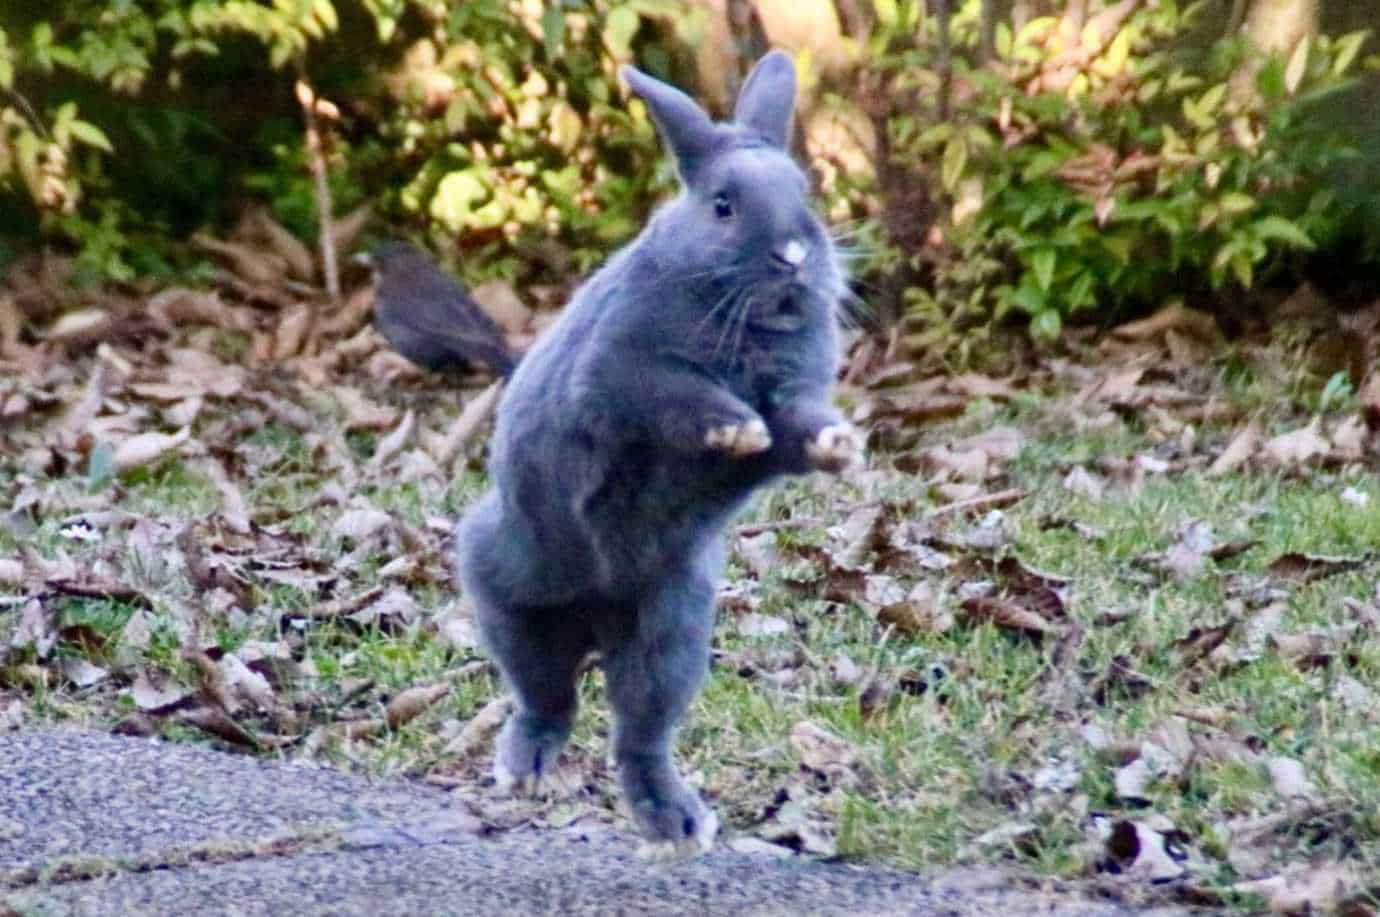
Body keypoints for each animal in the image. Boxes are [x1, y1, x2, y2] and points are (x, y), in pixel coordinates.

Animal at [452, 53, 861, 861]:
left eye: (805, 194)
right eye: (724, 206)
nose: (796, 258)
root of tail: (597, 616)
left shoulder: (793, 394)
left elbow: (797, 427)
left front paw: (837, 445)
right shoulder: (619, 375)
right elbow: (679, 395)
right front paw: (734, 429)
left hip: (672, 629)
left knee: (637, 733)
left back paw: (677, 825)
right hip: (511, 588)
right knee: (546, 698)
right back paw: (526, 769)